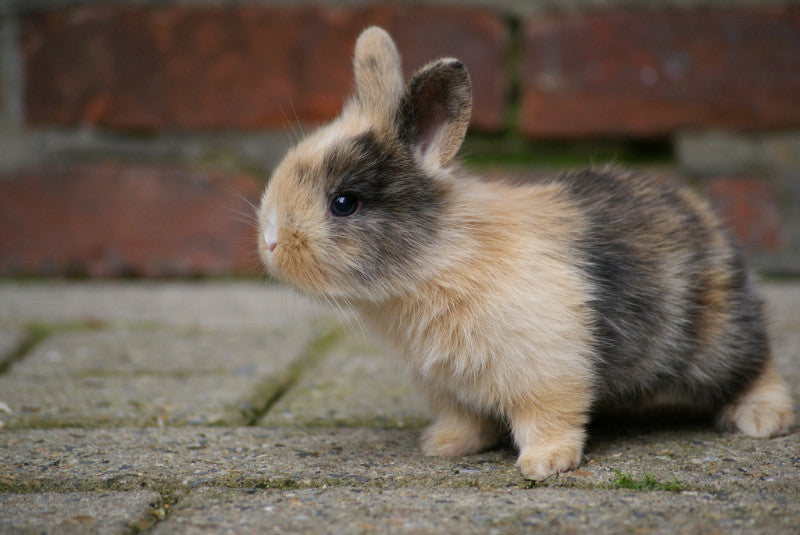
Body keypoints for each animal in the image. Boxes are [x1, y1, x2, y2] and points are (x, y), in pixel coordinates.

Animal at [257, 26, 794, 480]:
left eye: (344, 203)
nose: (271, 241)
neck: (440, 259)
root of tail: (705, 218)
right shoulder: (448, 387)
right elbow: (464, 419)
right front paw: (443, 446)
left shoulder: (547, 369)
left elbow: (549, 418)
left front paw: (543, 465)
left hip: (717, 338)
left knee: (757, 364)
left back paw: (762, 420)